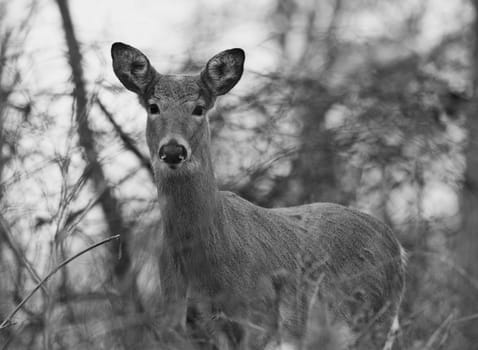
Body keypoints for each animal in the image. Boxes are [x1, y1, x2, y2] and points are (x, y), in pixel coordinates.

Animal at [112, 43, 408, 350]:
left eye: (198, 108)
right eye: (153, 107)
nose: (172, 151)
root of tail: (398, 249)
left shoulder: (258, 318)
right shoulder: (181, 325)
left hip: (370, 317)